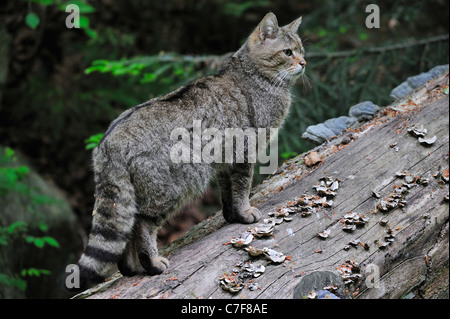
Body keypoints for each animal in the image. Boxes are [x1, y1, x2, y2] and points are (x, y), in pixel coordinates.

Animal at [72, 12, 308, 292]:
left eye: (302, 50)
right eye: (288, 52)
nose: (304, 63)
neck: (256, 77)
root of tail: (107, 143)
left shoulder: (224, 159)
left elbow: (227, 191)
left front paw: (232, 216)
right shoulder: (245, 150)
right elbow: (242, 187)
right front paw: (245, 211)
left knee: (126, 226)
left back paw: (130, 268)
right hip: (169, 189)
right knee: (141, 225)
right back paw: (151, 263)